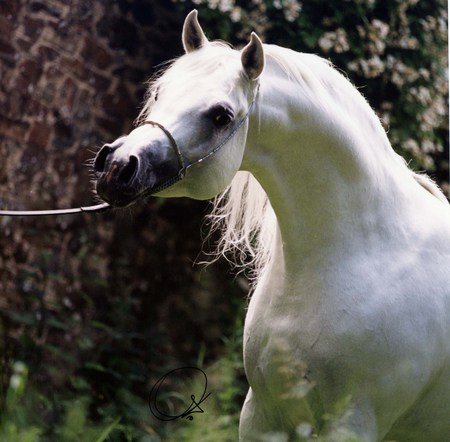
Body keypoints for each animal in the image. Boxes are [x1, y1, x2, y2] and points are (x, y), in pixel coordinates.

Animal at [95, 10, 450, 442]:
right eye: (161, 92)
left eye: (220, 115)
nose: (117, 167)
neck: (364, 252)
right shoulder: (263, 414)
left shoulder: (352, 424)